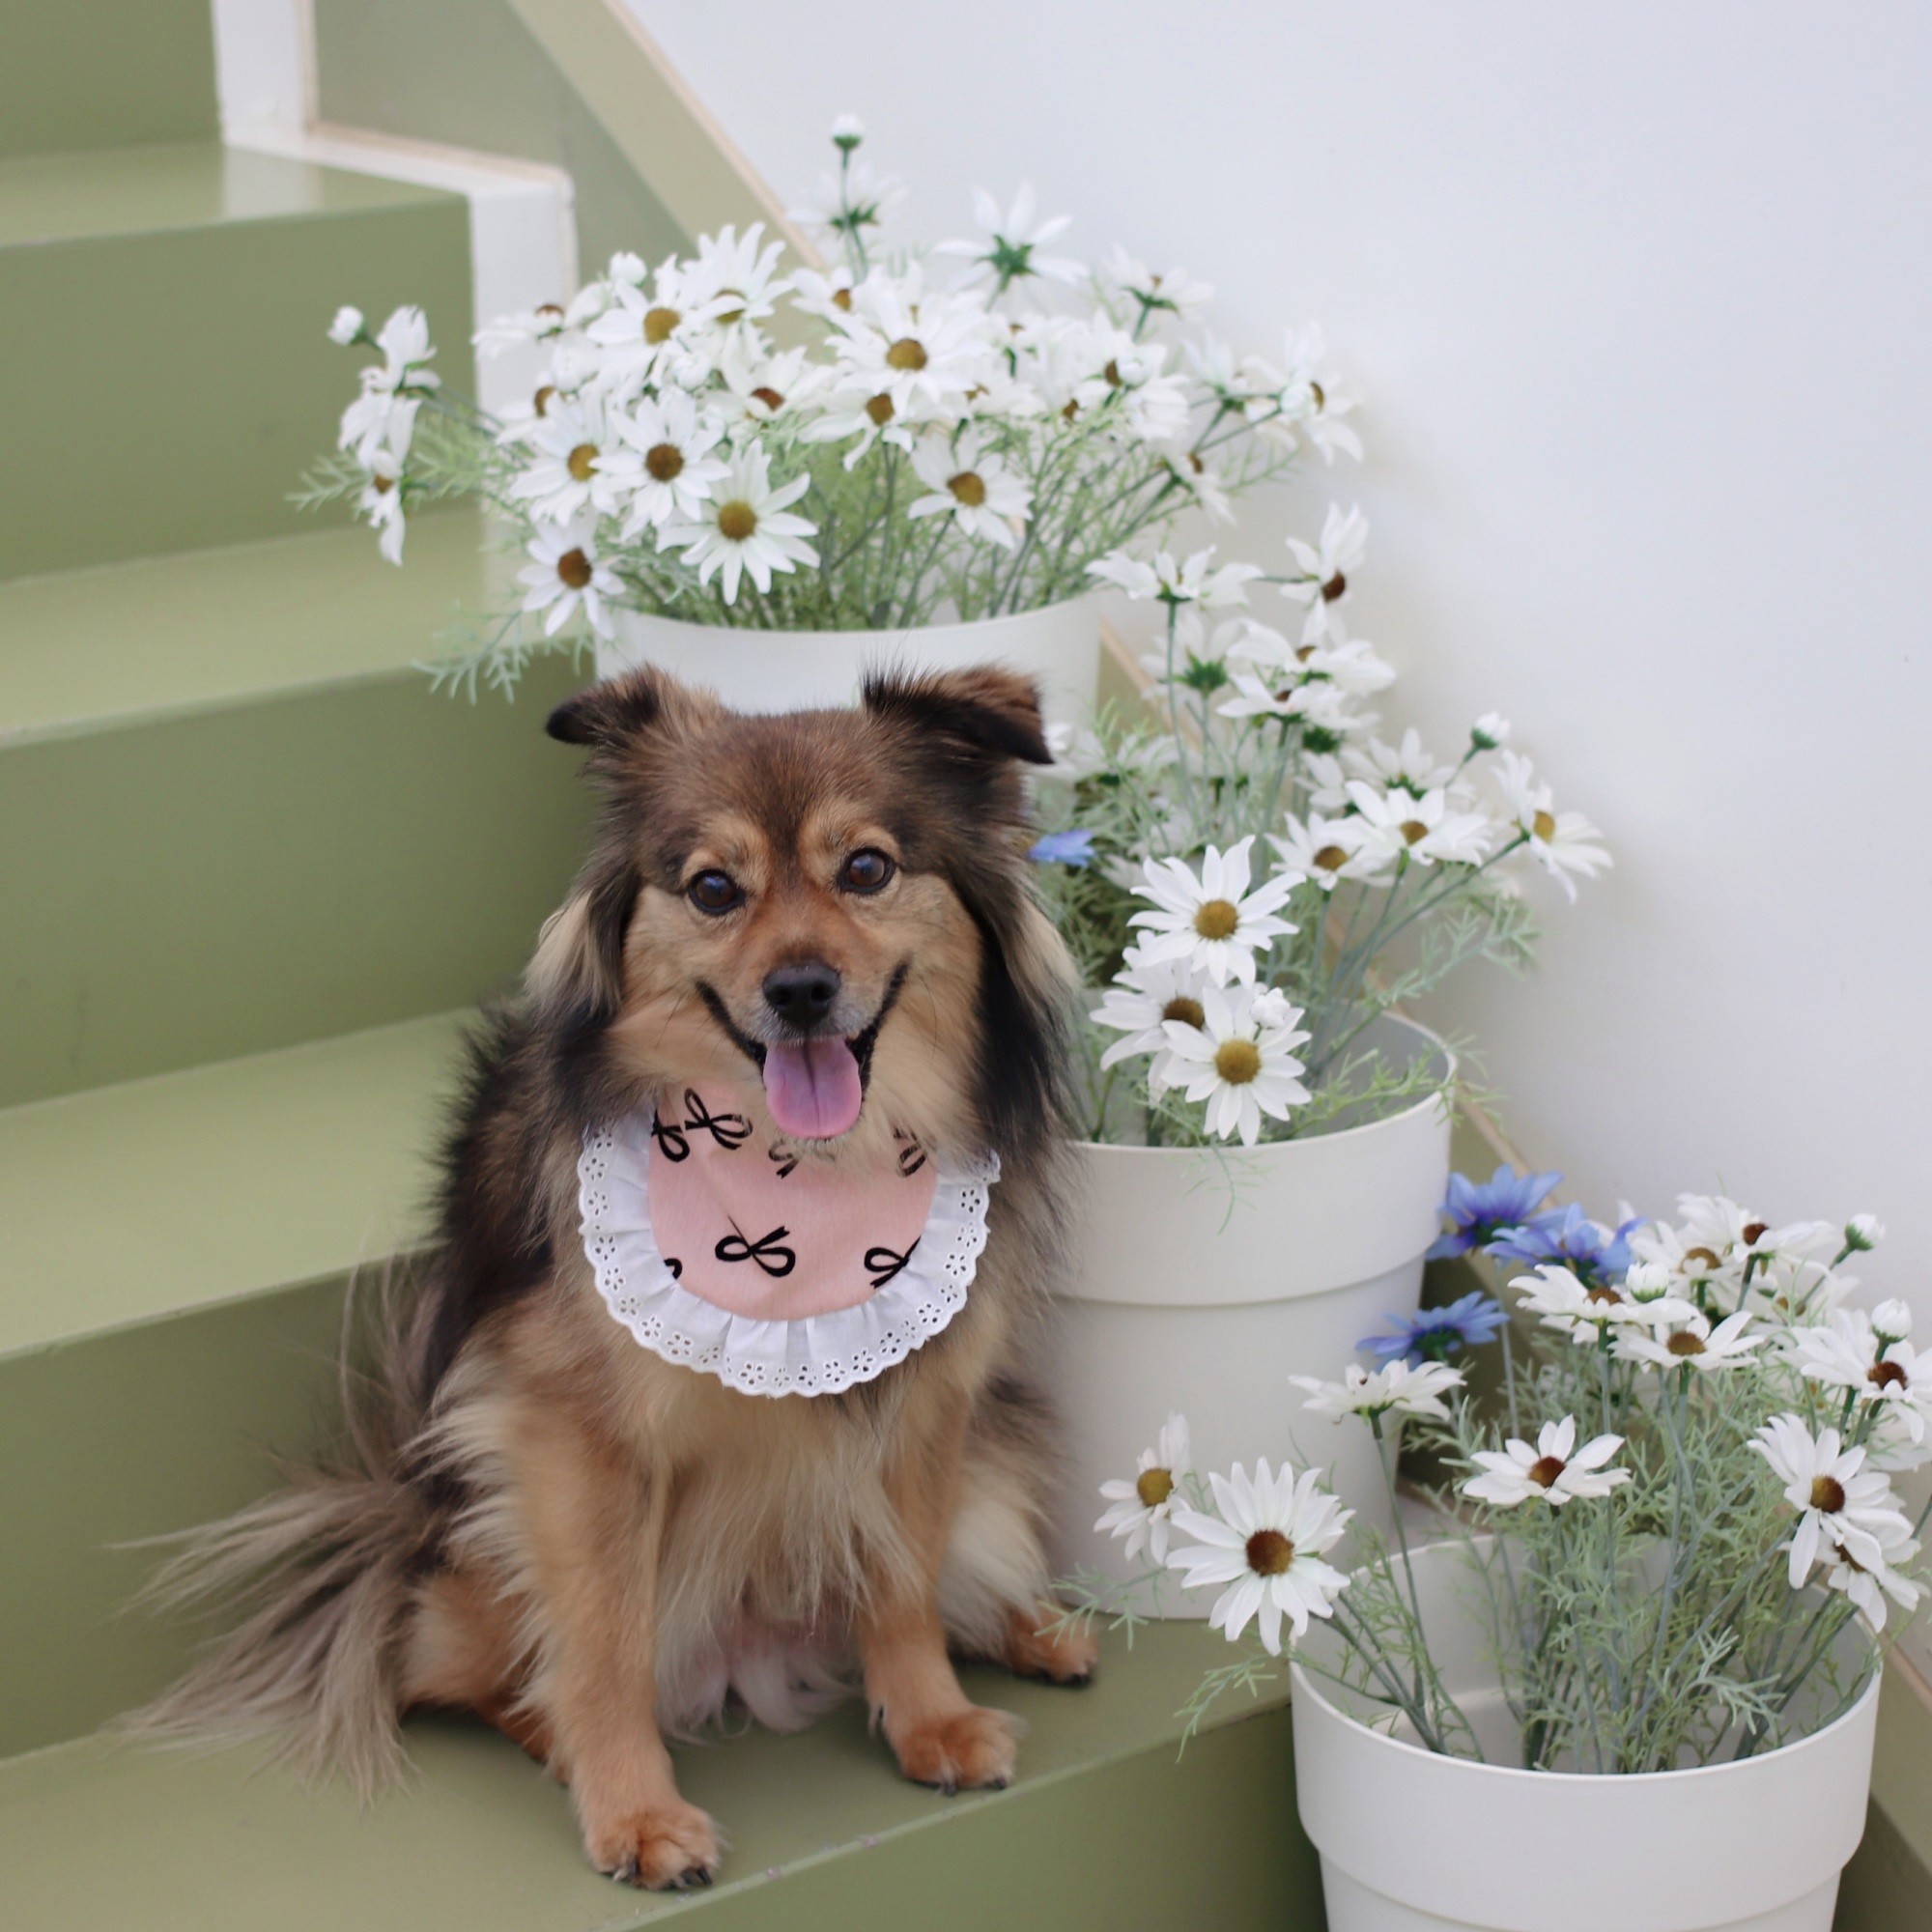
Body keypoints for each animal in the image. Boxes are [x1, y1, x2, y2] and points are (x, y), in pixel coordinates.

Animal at [136, 663, 1099, 1888]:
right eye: (712, 888)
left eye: (867, 869)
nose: (799, 989)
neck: (806, 1172)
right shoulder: (574, 1436)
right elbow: (601, 1637)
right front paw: (635, 1809)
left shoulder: (926, 1398)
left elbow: (899, 1576)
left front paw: (928, 1716)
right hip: (475, 1539)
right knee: (470, 1668)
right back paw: (558, 1737)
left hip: (991, 1458)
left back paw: (1035, 1630)